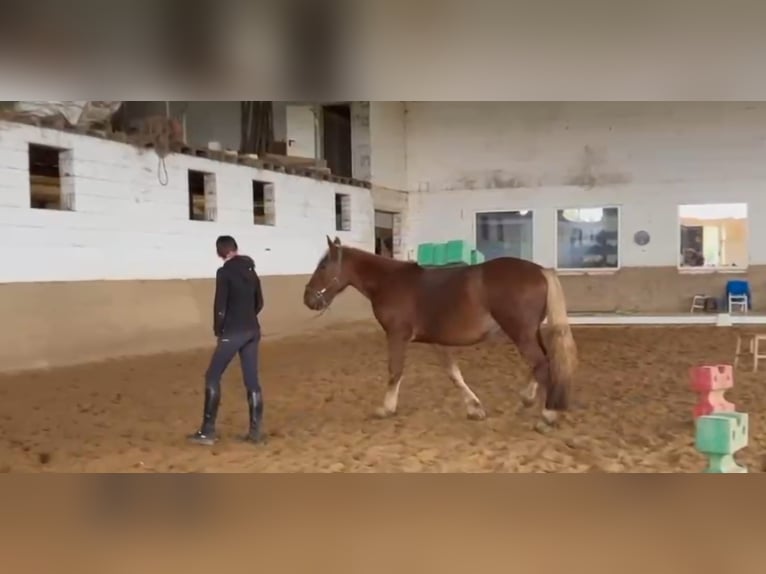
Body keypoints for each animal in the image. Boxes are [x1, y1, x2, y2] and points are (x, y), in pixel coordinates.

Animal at [303, 236, 578, 430]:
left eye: (323, 266)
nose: (308, 299)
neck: (389, 282)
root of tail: (541, 270)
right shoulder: (438, 341)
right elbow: (454, 374)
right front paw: (474, 408)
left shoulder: (397, 335)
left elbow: (395, 371)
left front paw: (386, 408)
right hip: (530, 333)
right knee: (542, 362)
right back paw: (528, 399)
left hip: (520, 333)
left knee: (541, 364)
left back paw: (547, 415)